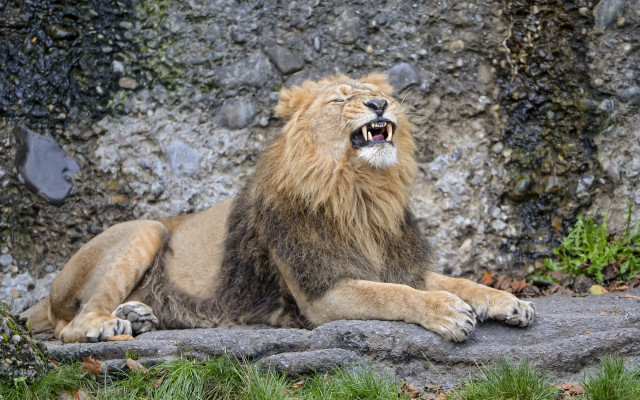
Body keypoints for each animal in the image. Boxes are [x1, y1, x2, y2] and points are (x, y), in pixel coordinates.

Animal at [22, 74, 534, 343]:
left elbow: (455, 281)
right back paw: (109, 325)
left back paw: (138, 315)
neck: (361, 193)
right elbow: (393, 295)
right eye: (341, 98)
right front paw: (447, 313)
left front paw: (508, 301)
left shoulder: (394, 261)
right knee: (69, 326)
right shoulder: (321, 292)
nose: (379, 102)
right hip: (145, 228)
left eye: (377, 93)